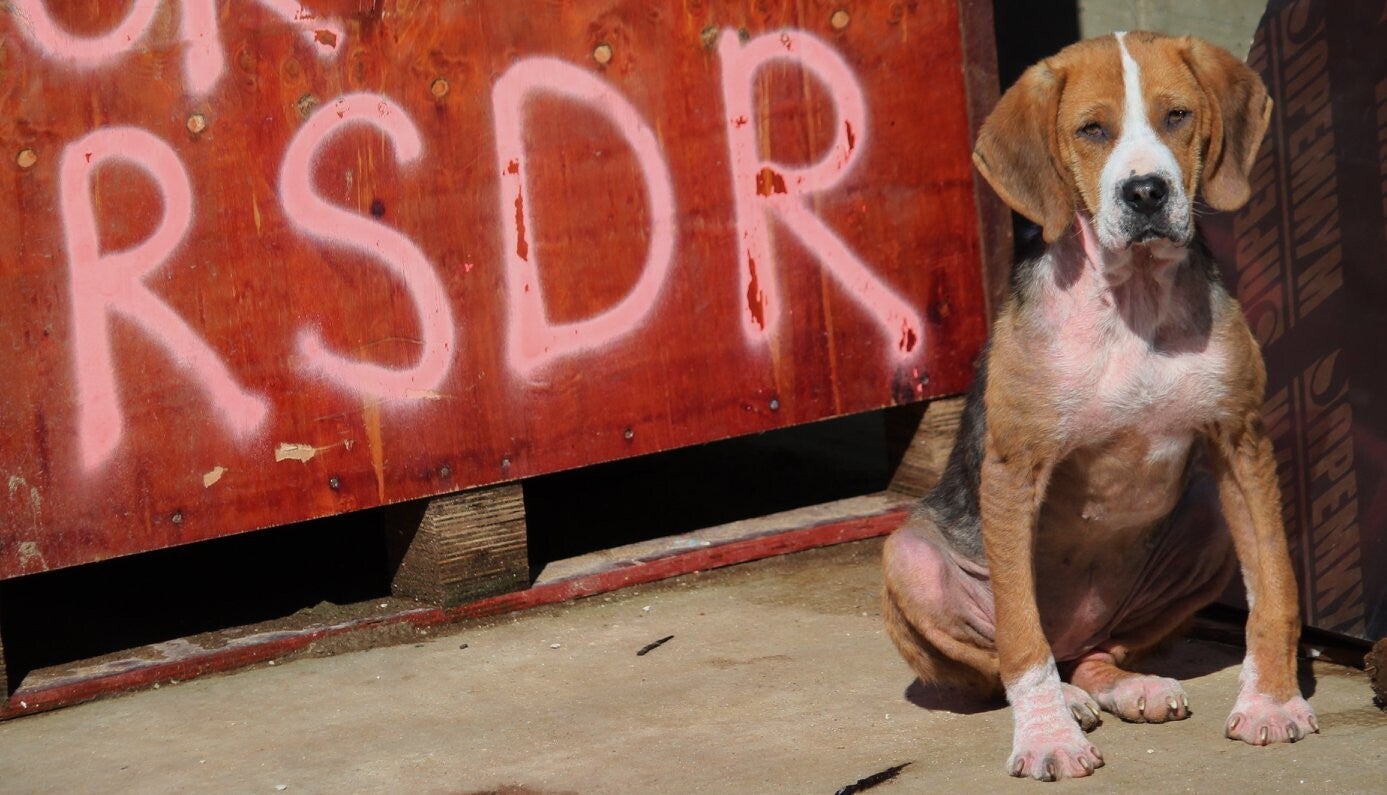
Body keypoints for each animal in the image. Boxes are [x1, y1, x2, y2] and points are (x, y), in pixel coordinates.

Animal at [882, 31, 1316, 781]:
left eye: (1177, 116)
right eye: (1091, 130)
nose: (1145, 192)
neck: (1133, 298)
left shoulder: (1242, 440)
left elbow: (1274, 587)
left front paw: (1271, 701)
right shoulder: (1012, 469)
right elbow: (1019, 637)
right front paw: (1047, 739)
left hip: (1203, 522)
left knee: (1096, 653)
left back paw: (1122, 686)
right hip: (906, 560)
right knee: (1017, 658)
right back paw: (1067, 705)